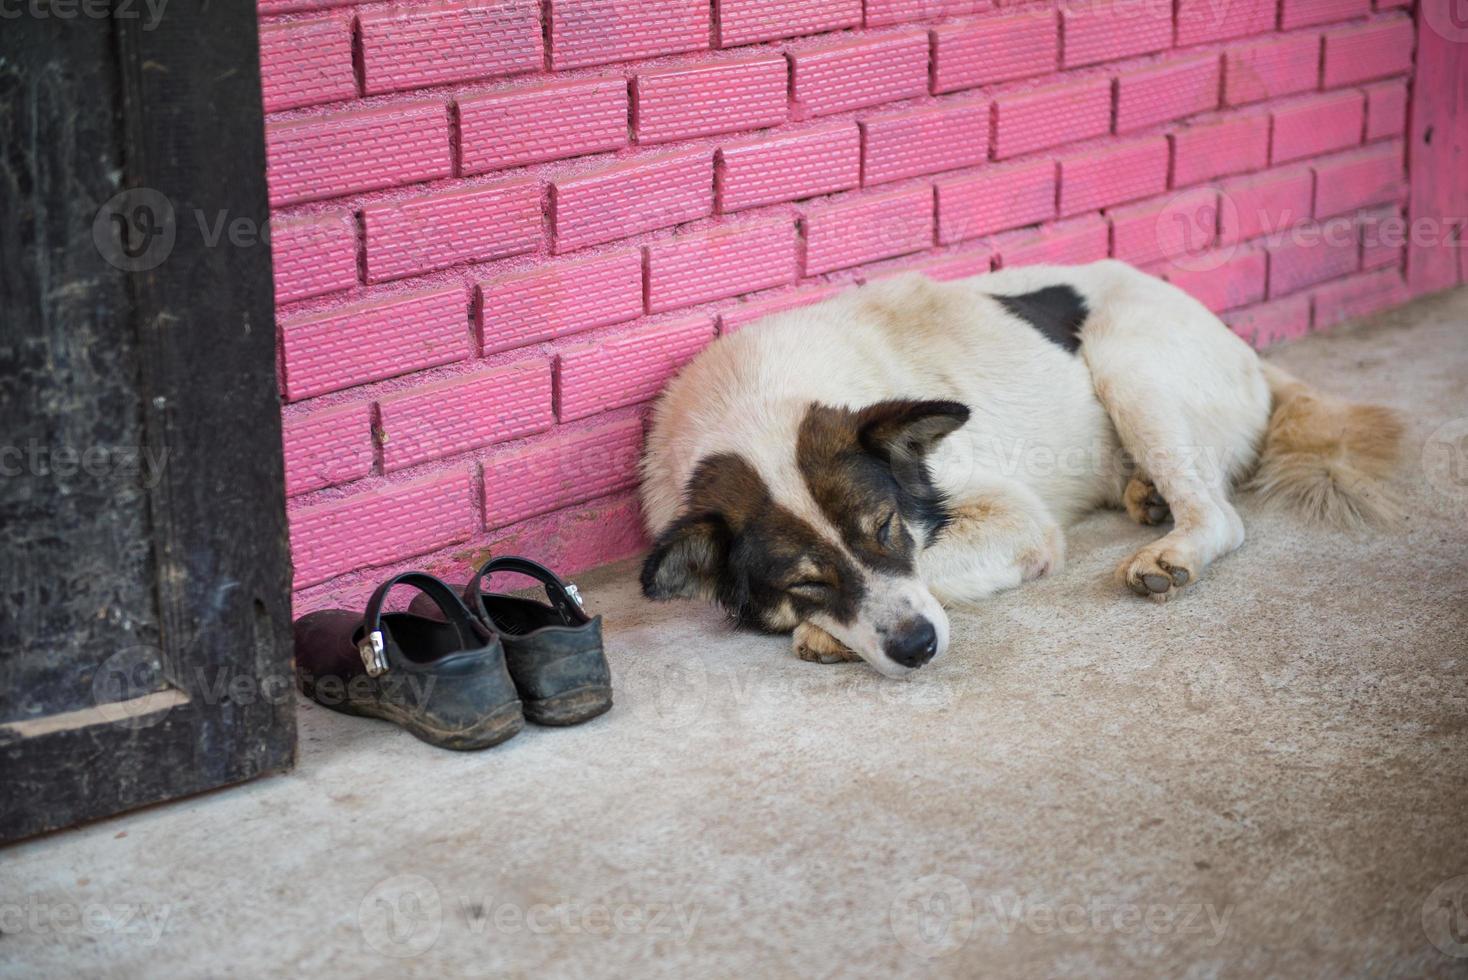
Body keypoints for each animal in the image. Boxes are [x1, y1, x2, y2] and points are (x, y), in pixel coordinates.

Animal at [640, 256, 1397, 677]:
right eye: (804, 581)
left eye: (885, 527)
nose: (918, 648)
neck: (754, 398)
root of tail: (1243, 347)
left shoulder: (1015, 515)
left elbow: (932, 563)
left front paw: (824, 636)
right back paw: (1148, 496)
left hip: (1129, 361)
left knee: (1222, 515)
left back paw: (1172, 548)